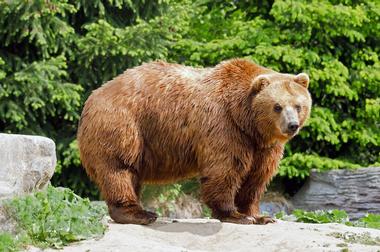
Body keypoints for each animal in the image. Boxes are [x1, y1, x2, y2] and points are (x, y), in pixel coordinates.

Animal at [77, 58, 312, 224]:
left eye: (298, 105)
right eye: (277, 106)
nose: (292, 125)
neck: (245, 119)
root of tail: (92, 97)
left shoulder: (262, 146)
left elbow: (256, 177)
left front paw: (260, 216)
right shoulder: (224, 127)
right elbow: (225, 169)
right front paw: (235, 215)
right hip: (122, 125)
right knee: (119, 168)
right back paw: (140, 214)